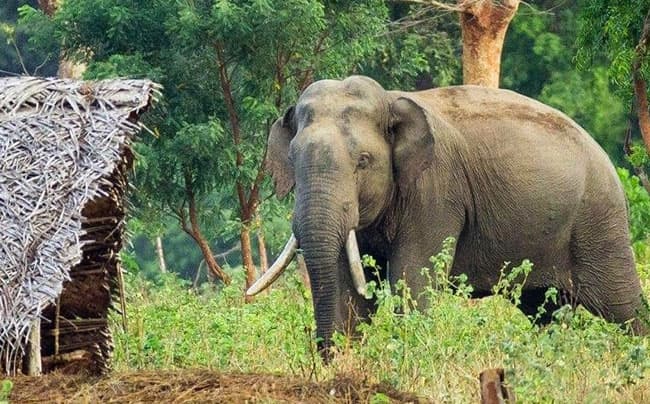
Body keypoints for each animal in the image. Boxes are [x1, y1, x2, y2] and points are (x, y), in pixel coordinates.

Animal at [248, 75, 646, 355]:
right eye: (293, 158)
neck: (390, 99)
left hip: (598, 222)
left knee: (622, 306)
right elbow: (349, 285)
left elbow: (411, 279)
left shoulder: (436, 191)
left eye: (363, 161)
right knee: (544, 311)